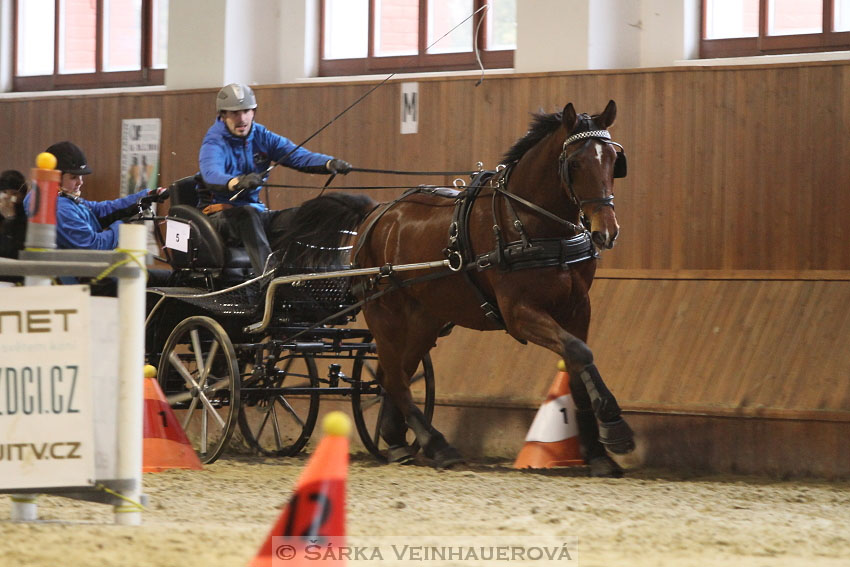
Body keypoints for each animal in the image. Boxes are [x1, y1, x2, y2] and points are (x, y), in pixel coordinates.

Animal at [282, 101, 632, 474]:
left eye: (613, 159)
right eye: (575, 163)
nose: (606, 231)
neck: (529, 222)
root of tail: (376, 213)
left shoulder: (578, 307)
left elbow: (579, 364)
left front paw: (598, 452)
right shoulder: (519, 313)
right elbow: (579, 354)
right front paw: (615, 427)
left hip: (424, 319)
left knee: (395, 372)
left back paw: (397, 440)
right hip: (384, 311)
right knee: (394, 377)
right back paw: (436, 443)